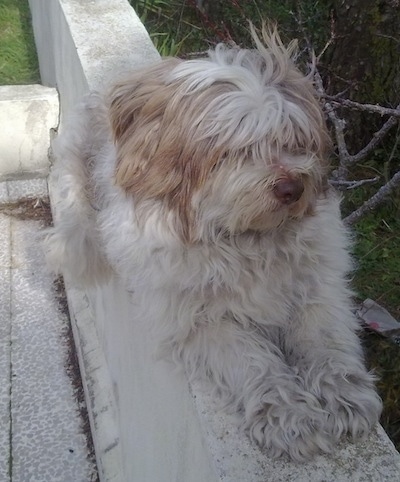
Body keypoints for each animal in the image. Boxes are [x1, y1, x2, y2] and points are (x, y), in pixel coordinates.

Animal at [43, 25, 382, 460]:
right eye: (235, 150)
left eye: (293, 140)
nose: (292, 188)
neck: (246, 239)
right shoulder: (198, 321)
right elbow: (253, 363)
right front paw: (288, 417)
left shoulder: (319, 289)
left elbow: (324, 340)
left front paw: (343, 395)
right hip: (76, 217)